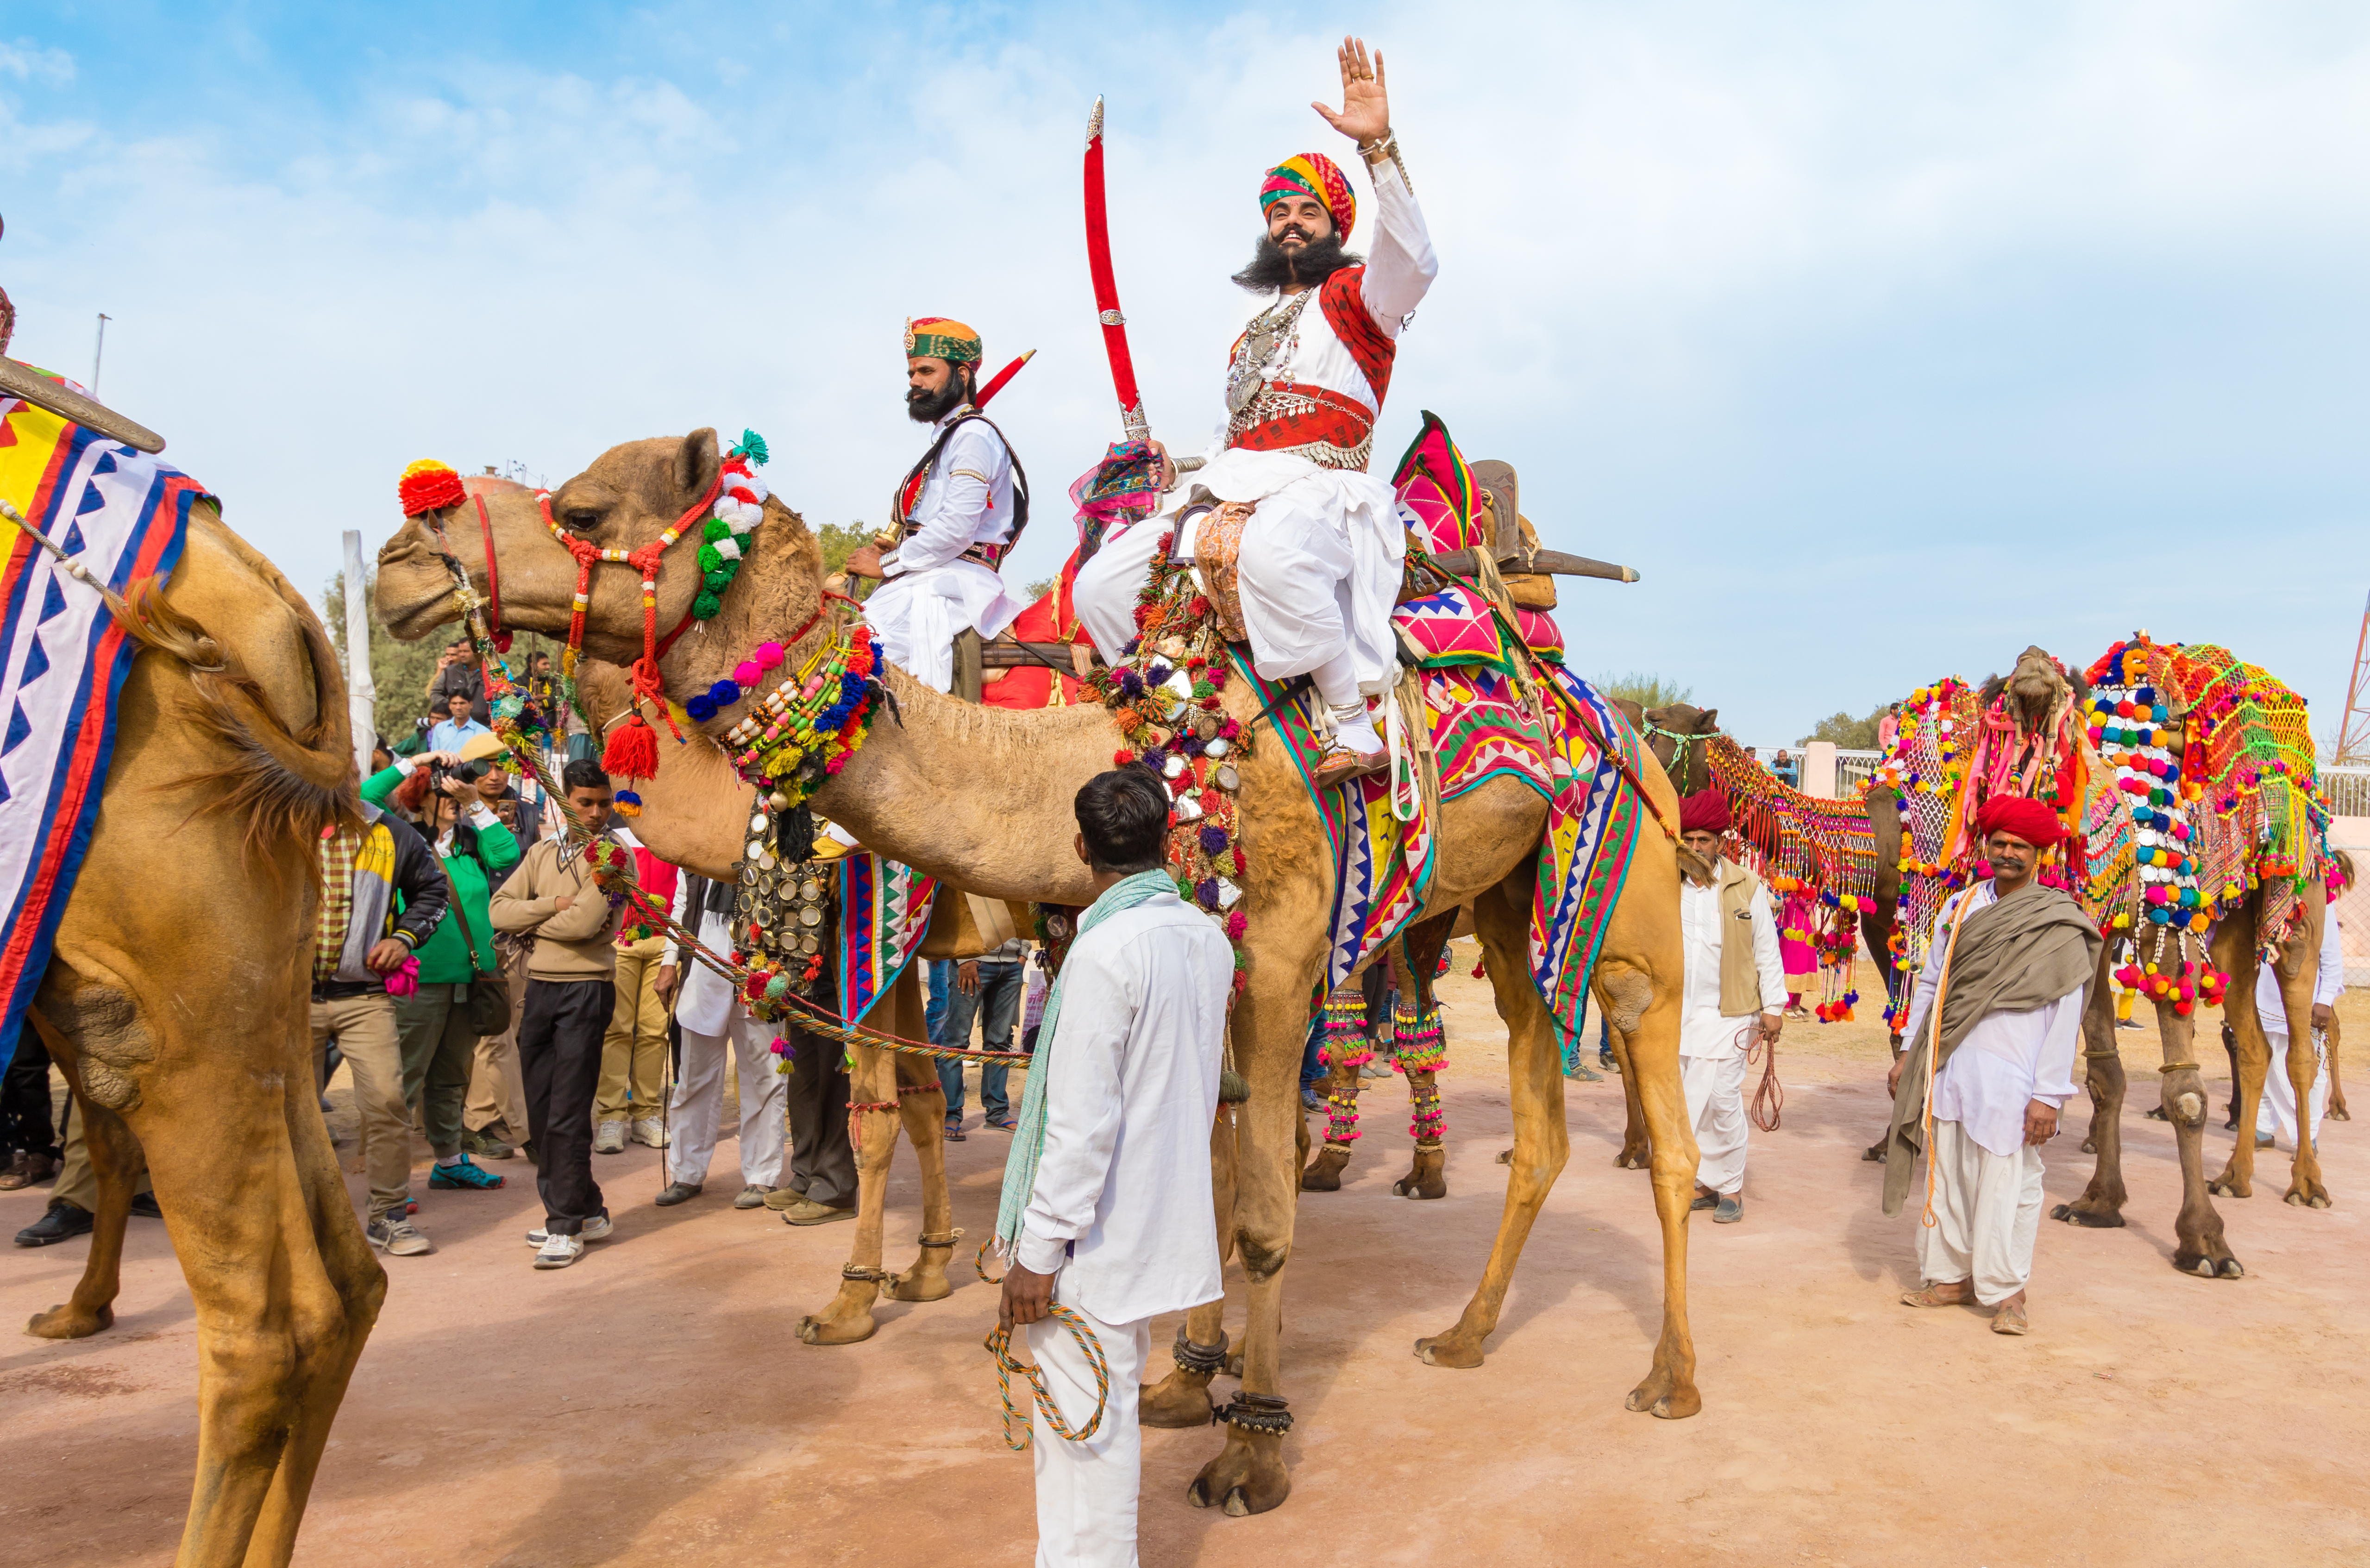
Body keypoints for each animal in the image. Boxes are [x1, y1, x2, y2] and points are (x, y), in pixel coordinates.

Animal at [370, 433, 1706, 1525]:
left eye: (584, 506)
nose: (400, 551)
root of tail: (1623, 719)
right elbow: (1036, 1133)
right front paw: (1163, 1374)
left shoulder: (1245, 954)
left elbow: (1242, 1206)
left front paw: (1250, 1451)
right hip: (1505, 909)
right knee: (1536, 1112)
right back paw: (1466, 1332)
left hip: (1622, 897)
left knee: (1656, 1103)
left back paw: (1668, 1375)